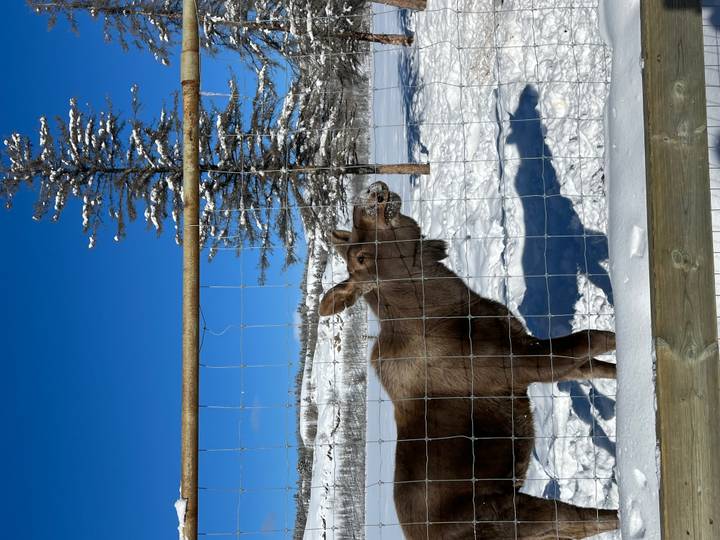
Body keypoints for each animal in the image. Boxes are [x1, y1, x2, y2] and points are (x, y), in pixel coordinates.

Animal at [319, 181, 619, 539]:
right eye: (361, 257)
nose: (369, 193)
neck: (445, 305)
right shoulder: (521, 364)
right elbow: (596, 337)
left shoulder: (527, 348)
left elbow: (602, 365)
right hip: (509, 511)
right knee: (589, 519)